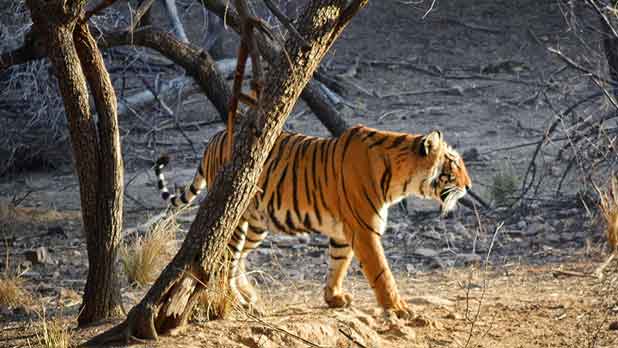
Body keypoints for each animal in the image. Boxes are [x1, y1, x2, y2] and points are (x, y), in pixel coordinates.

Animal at [153, 125, 466, 318]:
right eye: (453, 166)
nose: (469, 185)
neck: (400, 178)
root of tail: (214, 137)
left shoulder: (344, 231)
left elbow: (338, 264)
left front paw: (334, 298)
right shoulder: (364, 229)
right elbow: (381, 272)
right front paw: (398, 309)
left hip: (255, 225)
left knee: (236, 261)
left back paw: (250, 297)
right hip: (236, 217)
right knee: (223, 262)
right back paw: (241, 302)